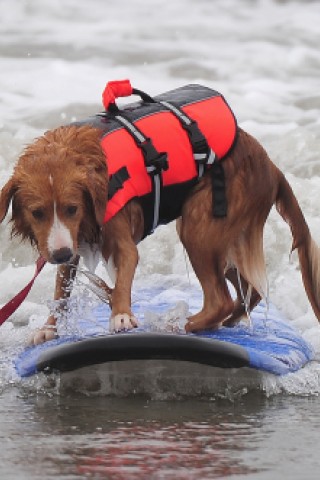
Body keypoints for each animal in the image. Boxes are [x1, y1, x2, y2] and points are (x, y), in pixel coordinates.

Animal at [1, 85, 320, 344]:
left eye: (72, 208)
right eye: (37, 212)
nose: (59, 254)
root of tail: (271, 166)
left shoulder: (114, 237)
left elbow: (123, 276)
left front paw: (120, 314)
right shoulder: (70, 239)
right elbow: (61, 290)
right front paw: (49, 328)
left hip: (200, 227)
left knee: (220, 300)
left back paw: (179, 326)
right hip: (223, 241)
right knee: (249, 292)